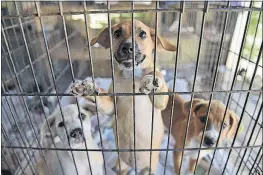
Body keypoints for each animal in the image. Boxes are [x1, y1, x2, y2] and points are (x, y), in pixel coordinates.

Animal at [71, 19, 176, 174]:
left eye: (142, 34)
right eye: (117, 33)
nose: (127, 47)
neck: (131, 76)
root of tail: (134, 167)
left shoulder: (161, 103)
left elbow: (157, 77)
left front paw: (153, 79)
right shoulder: (112, 106)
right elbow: (102, 99)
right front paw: (88, 89)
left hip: (149, 168)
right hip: (120, 164)